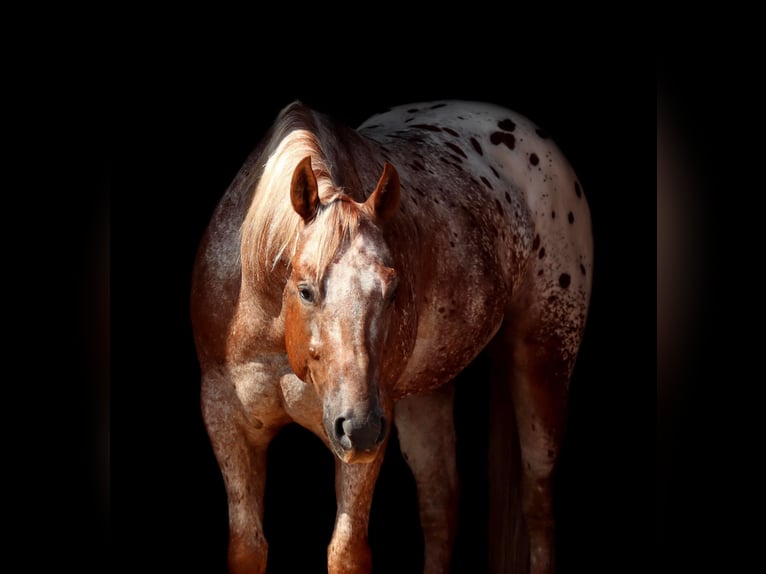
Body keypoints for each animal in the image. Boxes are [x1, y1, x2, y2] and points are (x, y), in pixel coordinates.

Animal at [190, 98, 592, 572]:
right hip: (425, 393)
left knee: (537, 501)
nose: (359, 428)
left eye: (394, 288)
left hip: (544, 359)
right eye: (305, 290)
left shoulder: (365, 431)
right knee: (439, 505)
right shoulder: (227, 420)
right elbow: (247, 547)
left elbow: (346, 552)